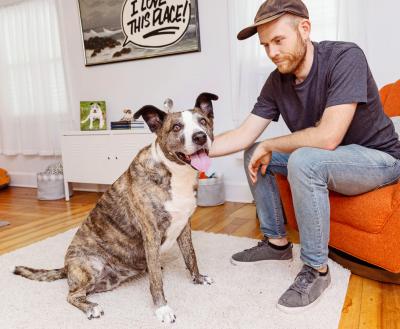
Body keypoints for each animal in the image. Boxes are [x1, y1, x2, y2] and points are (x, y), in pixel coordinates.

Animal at [14, 91, 219, 322]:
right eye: (176, 127)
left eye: (203, 121)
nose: (200, 137)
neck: (174, 173)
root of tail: (66, 268)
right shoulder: (151, 234)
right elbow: (156, 280)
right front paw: (162, 308)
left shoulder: (184, 226)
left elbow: (191, 256)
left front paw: (198, 278)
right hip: (91, 266)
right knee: (72, 295)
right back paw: (91, 307)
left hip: (106, 281)